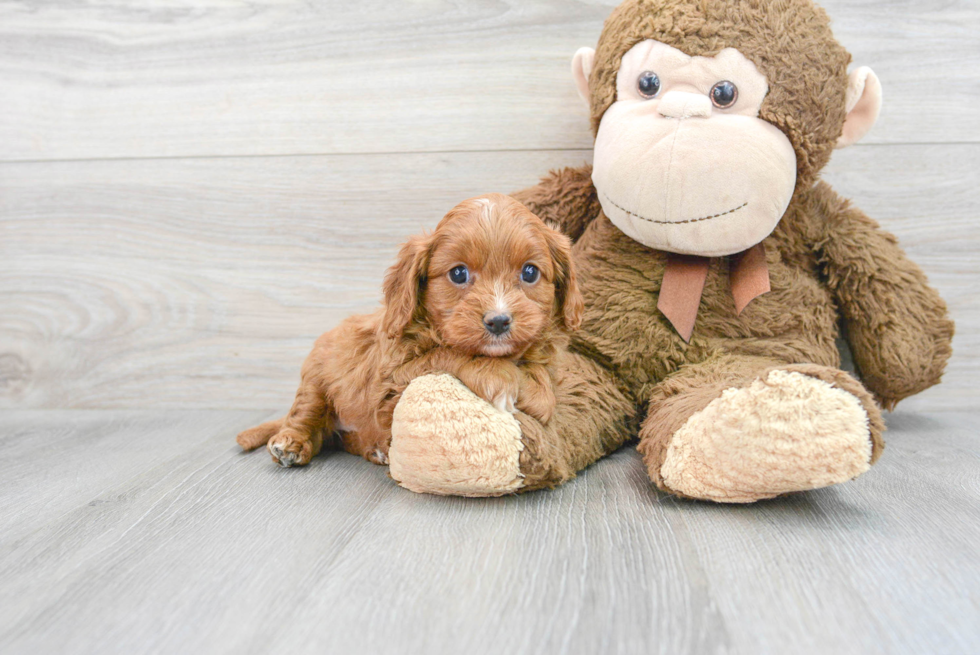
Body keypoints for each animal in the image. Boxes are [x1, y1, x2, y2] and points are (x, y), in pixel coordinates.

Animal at [236, 192, 580, 468]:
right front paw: (501, 377)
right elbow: (448, 353)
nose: (498, 321)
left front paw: (535, 390)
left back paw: (376, 450)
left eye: (530, 272)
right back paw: (290, 443)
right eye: (458, 273)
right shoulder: (391, 381)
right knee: (305, 413)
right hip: (316, 375)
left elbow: (543, 380)